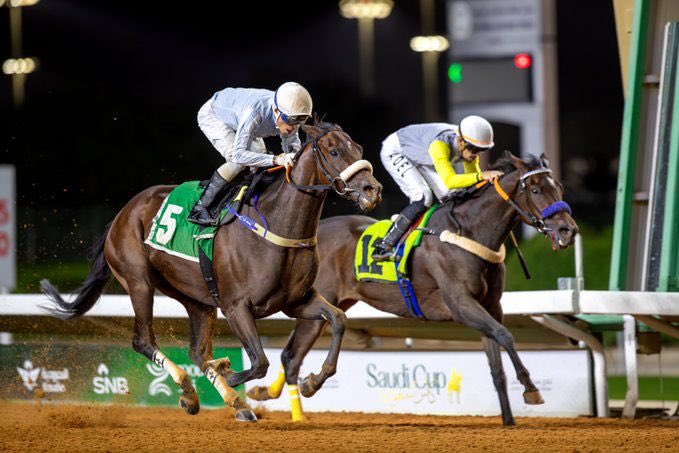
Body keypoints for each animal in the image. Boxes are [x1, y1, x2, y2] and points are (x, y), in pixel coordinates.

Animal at [41, 121, 383, 422]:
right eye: (334, 151)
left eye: (359, 148)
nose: (373, 189)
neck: (276, 224)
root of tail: (122, 213)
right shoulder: (236, 306)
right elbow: (259, 361)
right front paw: (228, 373)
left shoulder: (295, 301)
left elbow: (338, 319)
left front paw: (312, 381)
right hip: (138, 280)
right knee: (144, 341)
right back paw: (191, 390)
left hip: (196, 297)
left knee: (196, 352)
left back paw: (230, 403)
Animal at [248, 152, 579, 426]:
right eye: (535, 190)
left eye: (560, 187)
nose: (568, 230)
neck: (469, 233)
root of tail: (306, 237)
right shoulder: (461, 304)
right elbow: (506, 335)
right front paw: (531, 390)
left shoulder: (489, 306)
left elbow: (496, 361)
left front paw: (509, 420)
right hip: (319, 304)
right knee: (291, 356)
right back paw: (294, 398)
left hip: (332, 305)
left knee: (292, 356)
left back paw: (268, 394)